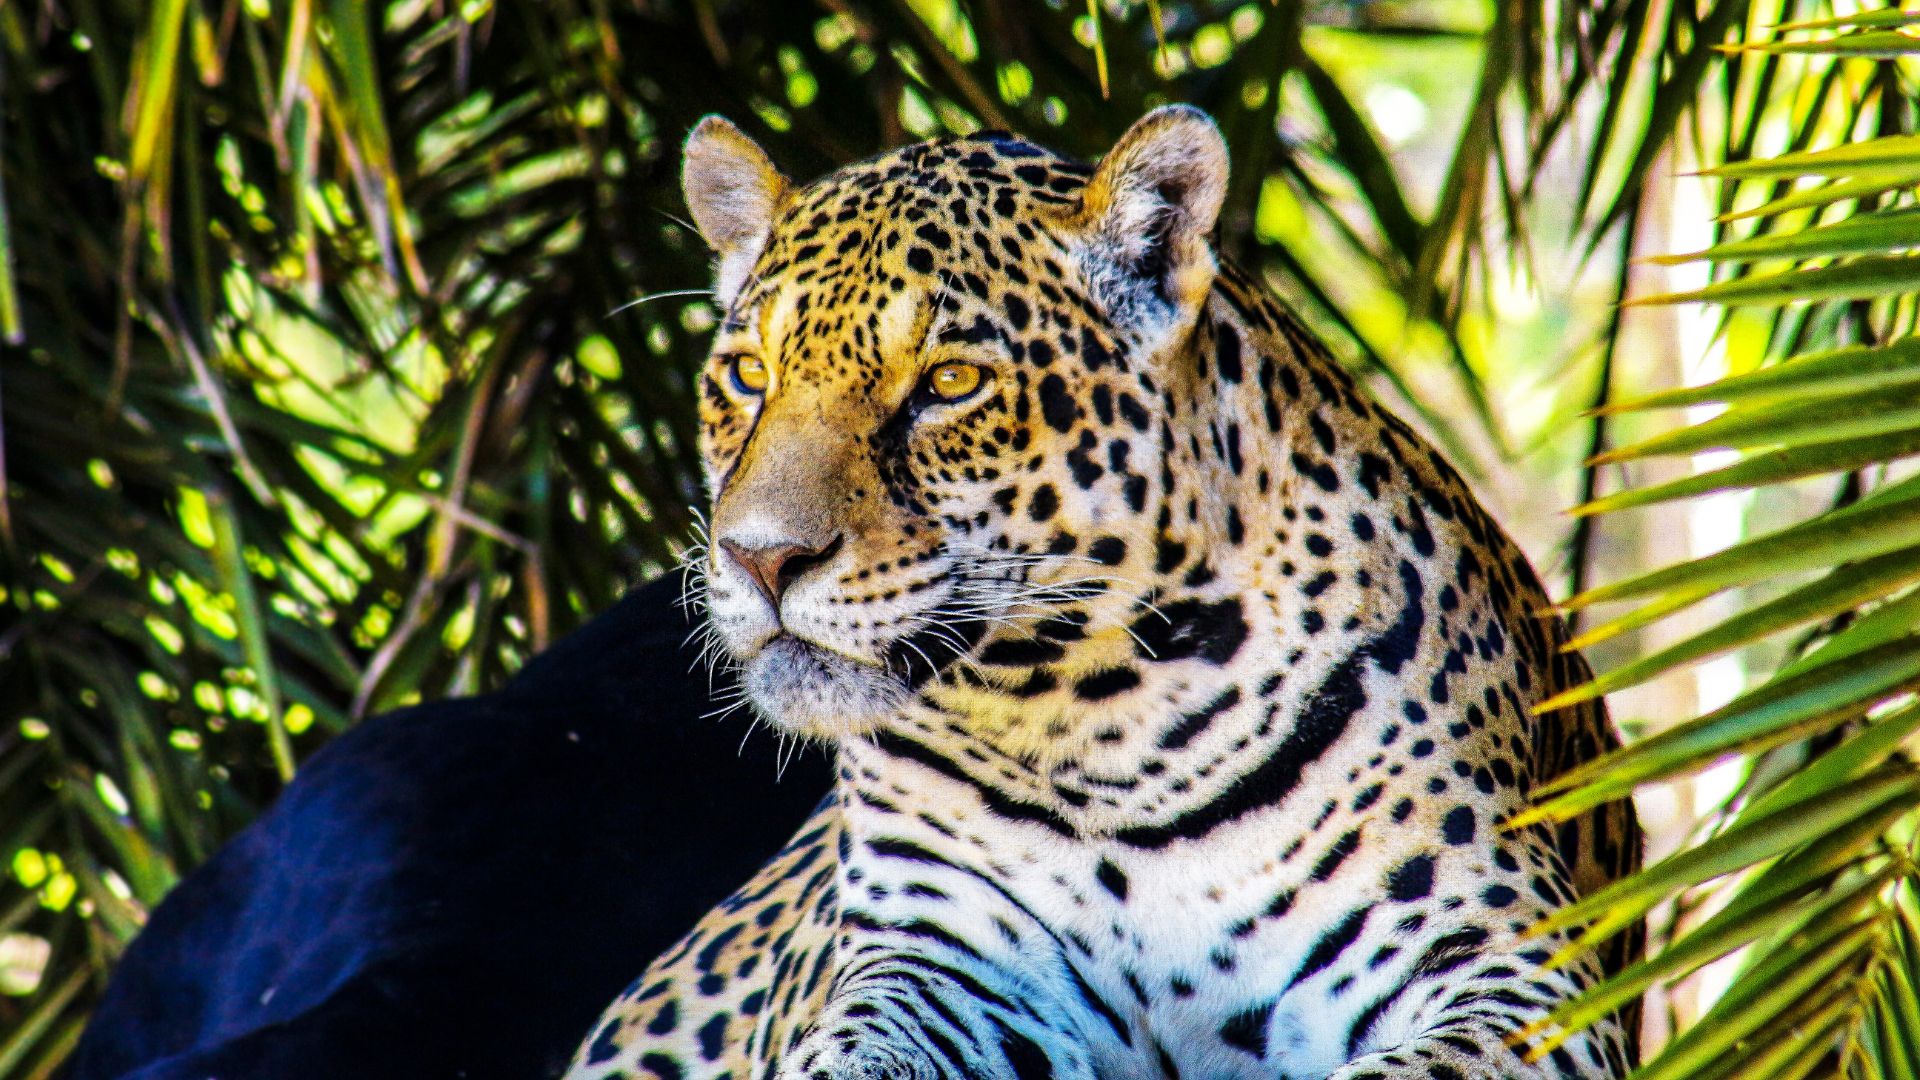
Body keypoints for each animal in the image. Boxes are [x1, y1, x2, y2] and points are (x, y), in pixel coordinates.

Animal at [565, 105, 1641, 1080]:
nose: (761, 557)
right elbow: (846, 1052)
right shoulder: (940, 961)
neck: (1099, 723)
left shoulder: (1503, 967)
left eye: (950, 383)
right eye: (748, 374)